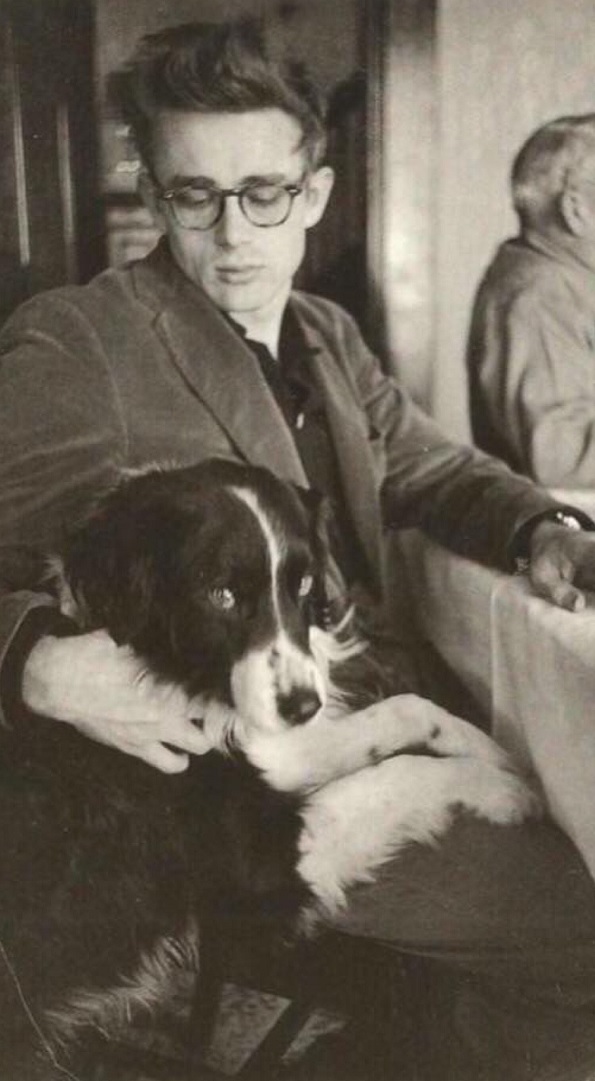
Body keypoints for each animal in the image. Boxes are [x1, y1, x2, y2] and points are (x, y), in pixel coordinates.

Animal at [0, 458, 540, 1072]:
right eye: (221, 594)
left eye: (302, 584)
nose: (304, 706)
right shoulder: (262, 872)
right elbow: (396, 775)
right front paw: (498, 788)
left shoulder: (270, 746)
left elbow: (404, 711)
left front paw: (495, 751)